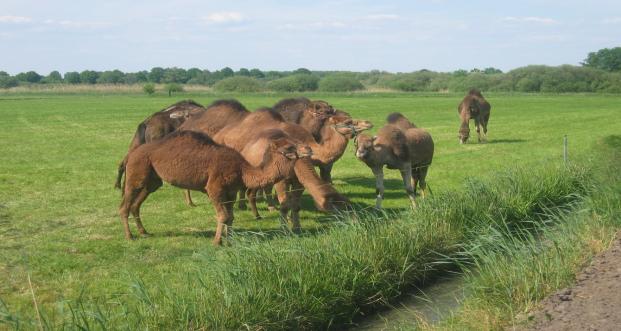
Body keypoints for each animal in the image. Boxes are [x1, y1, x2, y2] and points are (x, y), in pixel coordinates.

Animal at [118, 130, 308, 246]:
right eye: (289, 147)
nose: (307, 149)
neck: (242, 170)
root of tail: (129, 155)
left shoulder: (231, 191)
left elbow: (230, 217)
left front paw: (229, 240)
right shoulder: (214, 189)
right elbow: (223, 215)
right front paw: (217, 242)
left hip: (152, 180)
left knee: (136, 204)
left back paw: (144, 232)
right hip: (136, 172)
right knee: (124, 205)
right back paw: (129, 236)